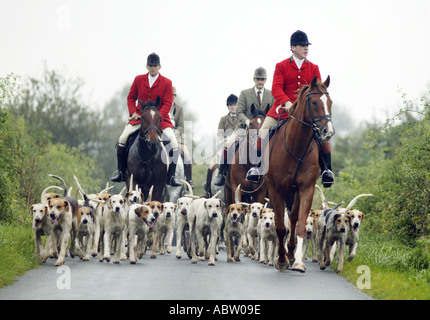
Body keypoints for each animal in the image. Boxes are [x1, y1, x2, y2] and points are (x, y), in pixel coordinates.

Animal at [266, 75, 336, 272]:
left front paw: (297, 261)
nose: (328, 132)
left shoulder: (306, 188)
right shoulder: (275, 189)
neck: (294, 147)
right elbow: (280, 227)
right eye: (314, 102)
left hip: (295, 191)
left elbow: (300, 224)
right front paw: (281, 259)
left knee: (294, 217)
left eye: (330, 102)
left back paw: (291, 255)